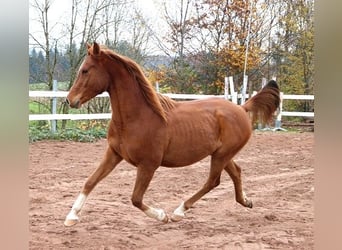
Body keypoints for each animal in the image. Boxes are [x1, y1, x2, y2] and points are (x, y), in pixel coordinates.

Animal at [64, 42, 280, 226]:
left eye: (85, 70)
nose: (69, 100)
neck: (137, 117)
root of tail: (242, 109)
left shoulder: (148, 165)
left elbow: (135, 198)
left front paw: (162, 216)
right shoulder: (114, 153)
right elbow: (90, 181)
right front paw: (71, 217)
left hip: (221, 155)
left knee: (213, 181)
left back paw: (179, 211)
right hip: (222, 154)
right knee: (236, 172)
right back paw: (246, 201)